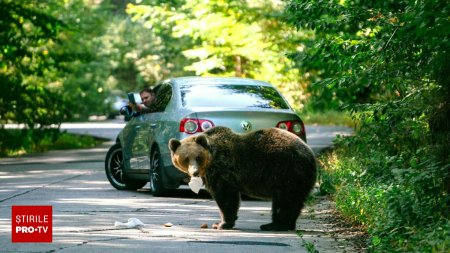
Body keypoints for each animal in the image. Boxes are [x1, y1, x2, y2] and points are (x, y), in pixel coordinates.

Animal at [168, 126, 316, 231]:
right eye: (186, 159)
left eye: (198, 157)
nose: (195, 172)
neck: (211, 161)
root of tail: (310, 155)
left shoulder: (222, 172)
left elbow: (226, 198)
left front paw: (221, 224)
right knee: (292, 201)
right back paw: (284, 224)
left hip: (287, 171)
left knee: (284, 200)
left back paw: (275, 225)